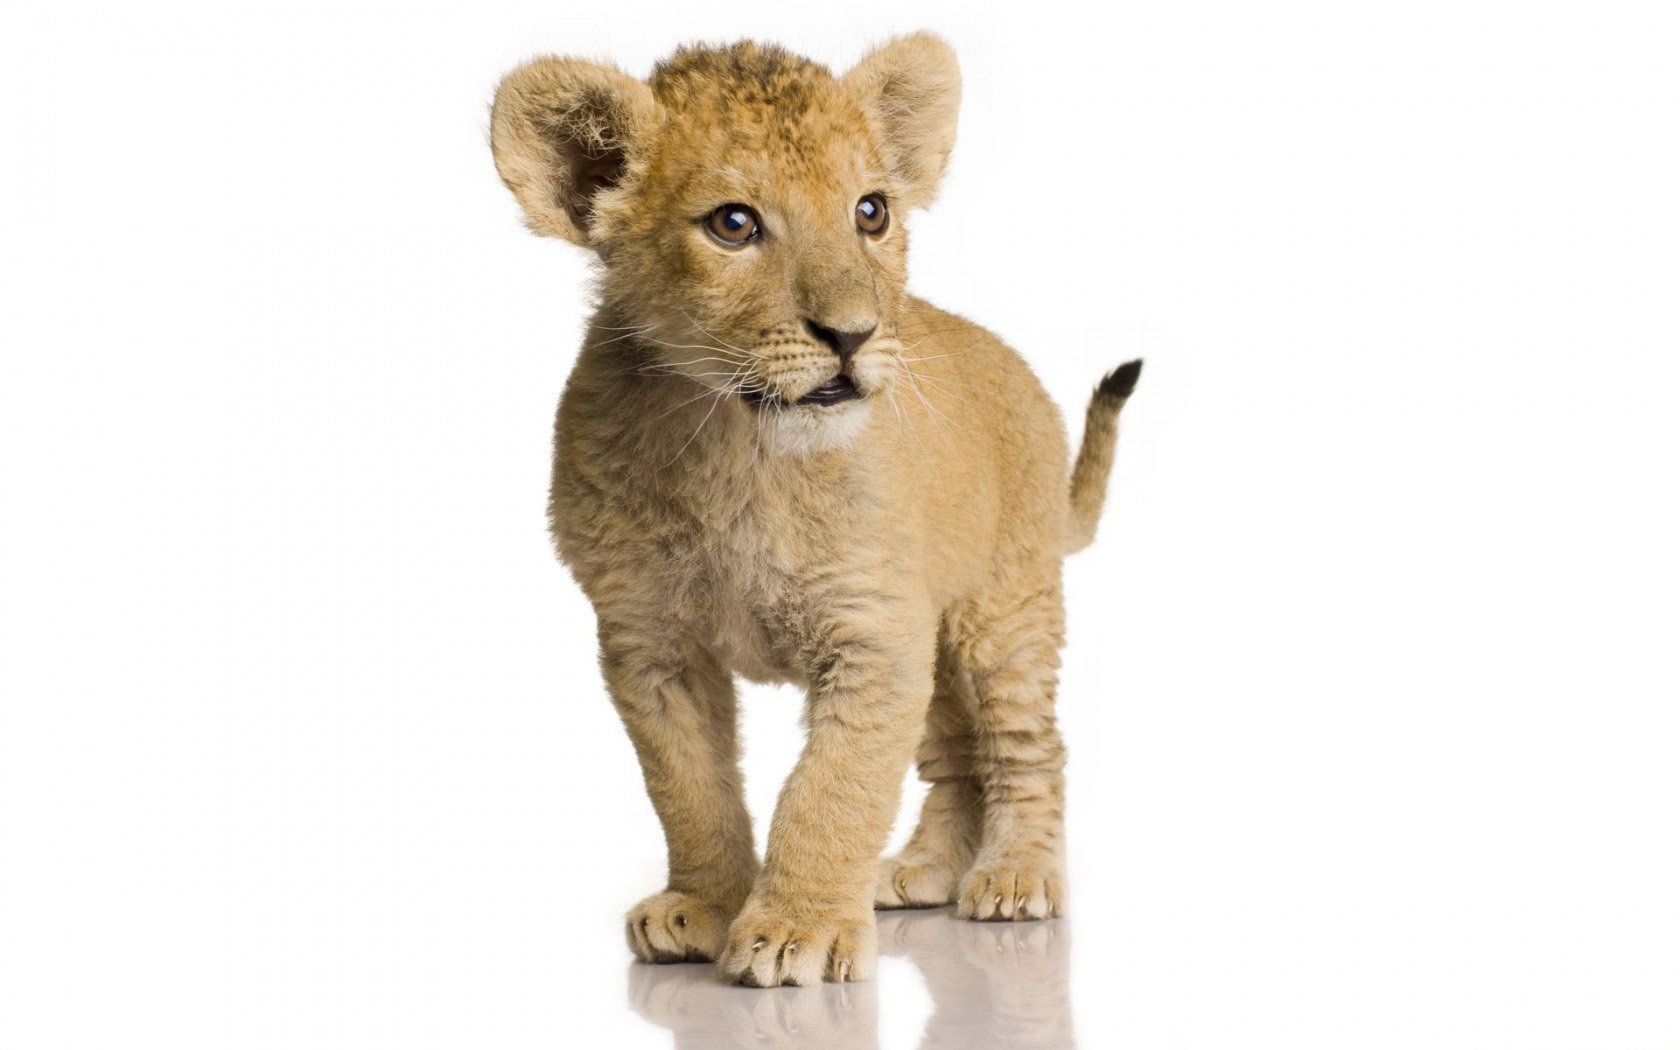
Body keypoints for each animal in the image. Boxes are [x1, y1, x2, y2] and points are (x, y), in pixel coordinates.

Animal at [490, 33, 1140, 987]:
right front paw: (705, 906)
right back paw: (922, 872)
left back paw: (1016, 877)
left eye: (871, 211)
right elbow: (689, 786)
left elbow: (833, 787)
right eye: (734, 224)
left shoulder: (873, 632)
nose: (853, 335)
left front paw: (799, 929)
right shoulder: (648, 642)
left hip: (1001, 610)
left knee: (1025, 746)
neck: (737, 445)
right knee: (955, 757)